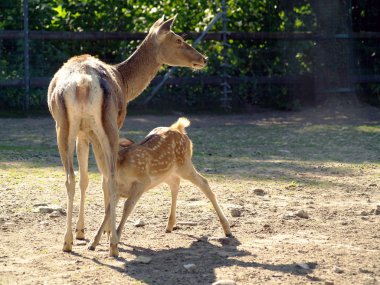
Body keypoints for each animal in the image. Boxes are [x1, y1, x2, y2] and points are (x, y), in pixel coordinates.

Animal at [48, 15, 208, 255]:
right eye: (178, 39)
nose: (203, 59)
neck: (124, 81)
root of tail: (82, 83)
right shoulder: (112, 123)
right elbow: (103, 177)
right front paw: (104, 233)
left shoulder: (83, 133)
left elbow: (85, 178)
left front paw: (81, 232)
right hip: (108, 124)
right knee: (110, 177)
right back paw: (113, 243)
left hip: (63, 125)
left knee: (70, 177)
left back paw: (67, 242)